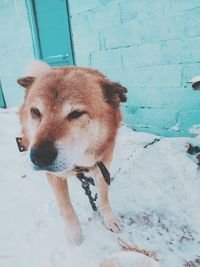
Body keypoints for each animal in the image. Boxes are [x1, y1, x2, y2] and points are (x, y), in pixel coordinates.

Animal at [16, 61, 126, 246]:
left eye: (76, 113)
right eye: (36, 112)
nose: (39, 157)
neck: (79, 164)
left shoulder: (101, 169)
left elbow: (103, 199)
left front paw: (109, 219)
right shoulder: (55, 177)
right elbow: (66, 207)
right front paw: (75, 234)